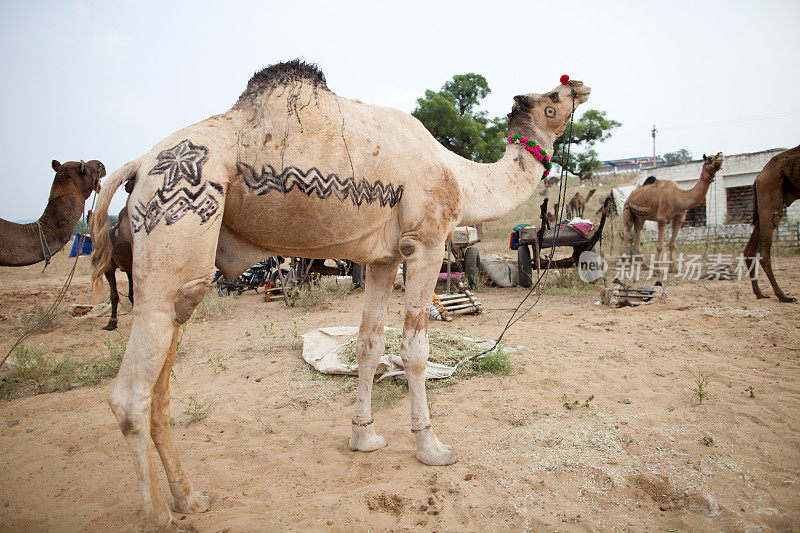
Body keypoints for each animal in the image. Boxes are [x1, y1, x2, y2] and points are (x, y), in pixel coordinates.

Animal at [90, 61, 592, 528]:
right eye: (554, 96)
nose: (582, 85)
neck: (461, 176)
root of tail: (139, 164)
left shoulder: (384, 258)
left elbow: (369, 344)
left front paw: (364, 437)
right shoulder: (426, 241)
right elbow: (414, 350)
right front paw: (431, 446)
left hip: (185, 276)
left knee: (161, 387)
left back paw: (191, 498)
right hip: (176, 222)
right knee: (130, 394)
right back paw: (158, 515)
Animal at [744, 145, 800, 302]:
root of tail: (759, 176)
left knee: (750, 250)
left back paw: (760, 293)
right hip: (771, 190)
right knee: (764, 250)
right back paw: (783, 296)